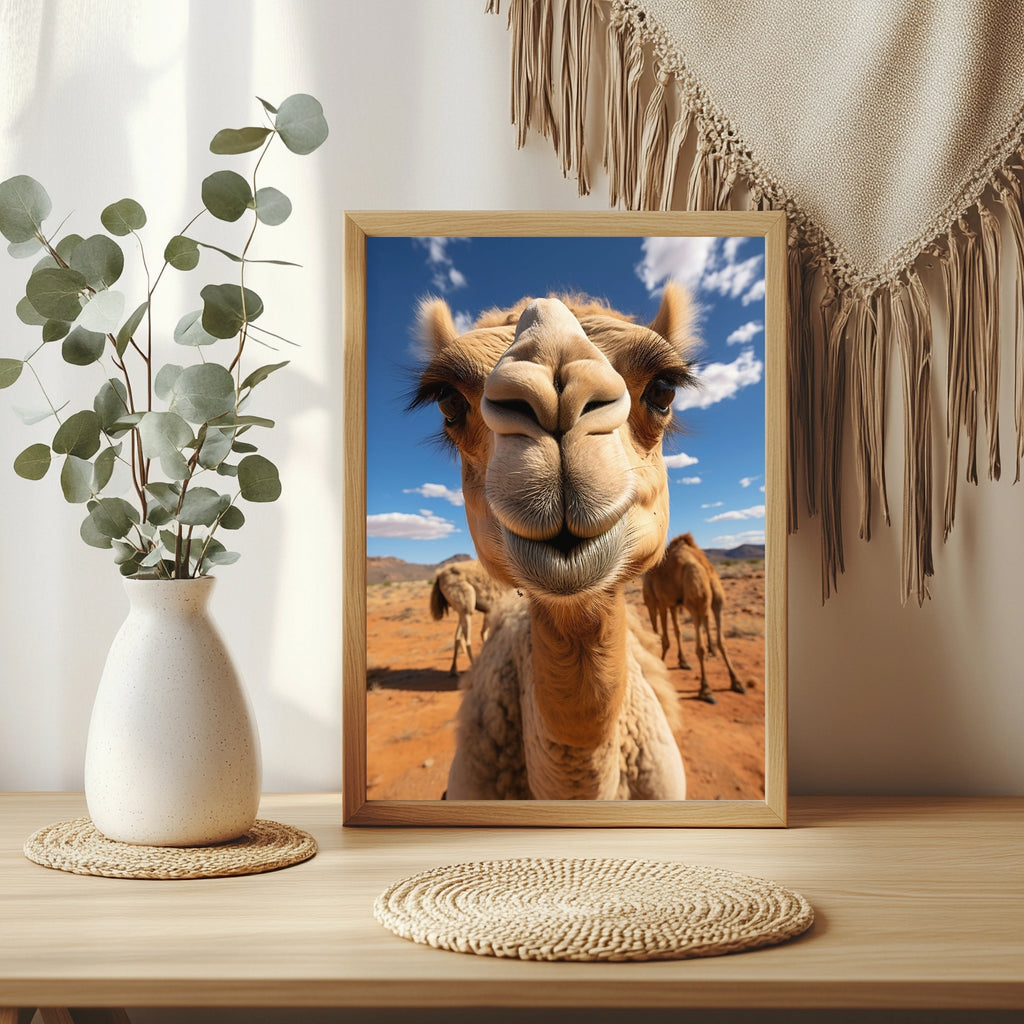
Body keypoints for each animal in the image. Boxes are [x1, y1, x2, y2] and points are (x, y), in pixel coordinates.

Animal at [642, 533, 745, 704]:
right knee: (720, 640)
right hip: (716, 598)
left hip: (691, 600)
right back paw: (736, 683)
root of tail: (702, 565)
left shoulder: (661, 601)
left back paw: (706, 689)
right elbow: (677, 633)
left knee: (698, 645)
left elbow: (664, 637)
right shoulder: (672, 603)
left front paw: (660, 663)